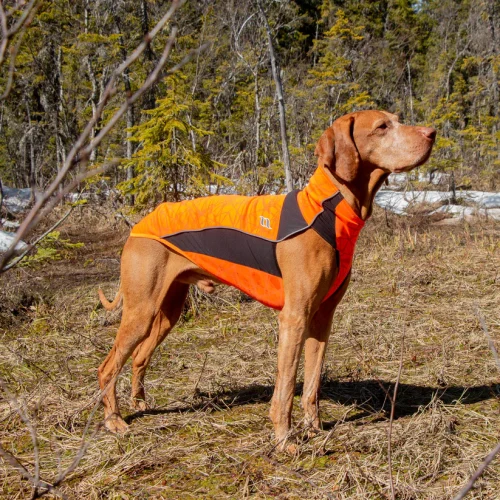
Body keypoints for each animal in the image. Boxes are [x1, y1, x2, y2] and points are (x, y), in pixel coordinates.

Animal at [97, 111, 434, 448]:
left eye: (397, 120)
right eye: (382, 127)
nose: (432, 133)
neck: (328, 208)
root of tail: (139, 224)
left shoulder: (322, 318)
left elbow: (312, 385)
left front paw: (314, 429)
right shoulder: (294, 318)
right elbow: (285, 388)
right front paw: (284, 440)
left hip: (168, 311)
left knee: (139, 357)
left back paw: (140, 403)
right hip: (141, 311)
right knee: (107, 367)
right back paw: (114, 420)